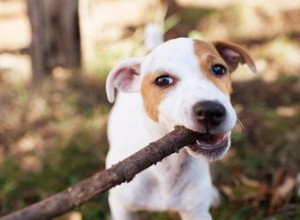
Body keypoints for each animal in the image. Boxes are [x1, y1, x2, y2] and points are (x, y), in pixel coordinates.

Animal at [105, 38, 255, 220]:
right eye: (163, 80)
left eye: (219, 69)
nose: (211, 111)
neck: (168, 168)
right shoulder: (123, 208)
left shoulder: (197, 213)